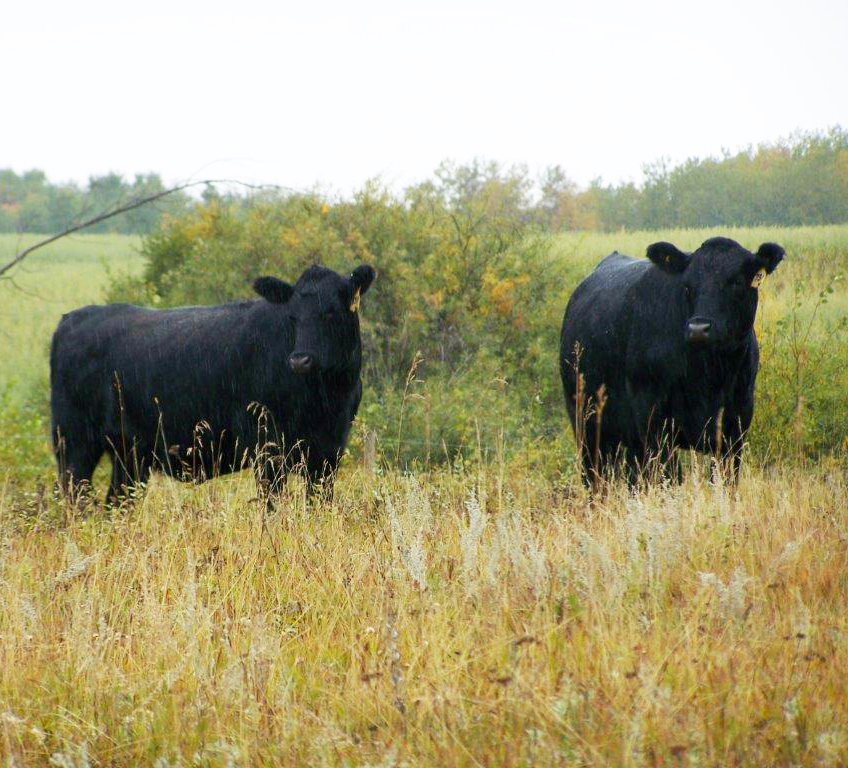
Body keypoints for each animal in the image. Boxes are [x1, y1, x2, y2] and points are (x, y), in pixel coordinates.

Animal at [50, 263, 376, 505]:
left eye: (331, 311)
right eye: (293, 316)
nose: (300, 360)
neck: (327, 396)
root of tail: (73, 318)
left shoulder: (329, 450)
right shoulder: (267, 447)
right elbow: (272, 504)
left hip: (129, 453)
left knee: (116, 501)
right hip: (74, 443)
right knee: (77, 499)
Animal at [559, 237, 784, 485]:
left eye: (736, 282)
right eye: (687, 286)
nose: (698, 329)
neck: (710, 374)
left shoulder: (736, 423)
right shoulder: (653, 421)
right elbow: (670, 478)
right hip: (587, 426)